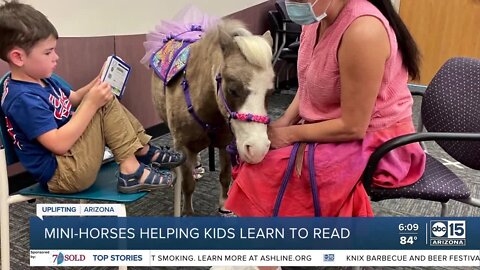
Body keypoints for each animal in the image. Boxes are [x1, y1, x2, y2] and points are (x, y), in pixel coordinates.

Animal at [150, 20, 274, 215]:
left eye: (270, 92)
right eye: (233, 89)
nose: (257, 149)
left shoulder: (225, 143)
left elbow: (225, 176)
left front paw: (224, 205)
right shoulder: (184, 146)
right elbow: (187, 185)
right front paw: (187, 212)